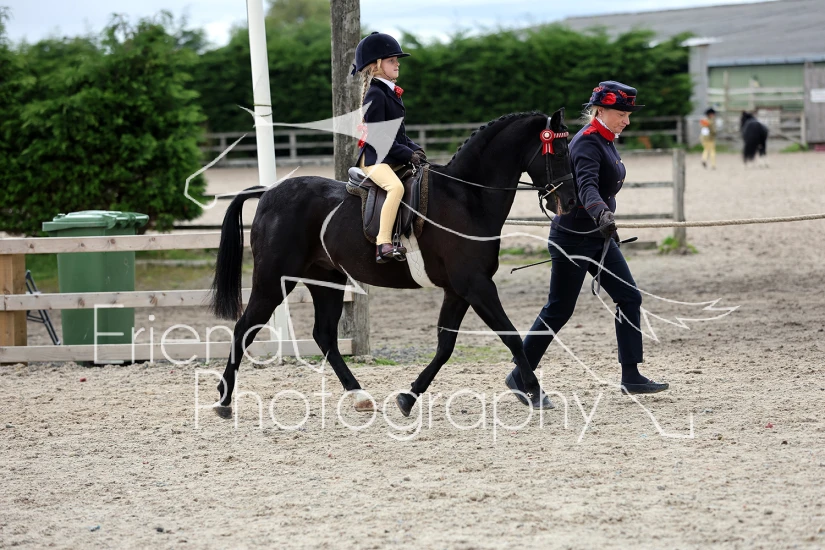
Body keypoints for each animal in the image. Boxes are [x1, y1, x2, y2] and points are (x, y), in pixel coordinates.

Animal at [209, 109, 578, 417]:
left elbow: (445, 346)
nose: (572, 202)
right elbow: (510, 335)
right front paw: (536, 392)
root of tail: (269, 192)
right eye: (560, 153)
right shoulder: (476, 285)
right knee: (244, 328)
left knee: (324, 336)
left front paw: (407, 397)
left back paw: (359, 396)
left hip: (326, 280)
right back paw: (224, 400)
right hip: (273, 280)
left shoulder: (460, 290)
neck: (466, 198)